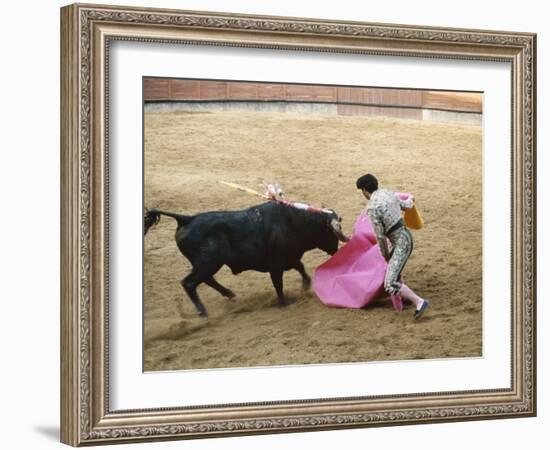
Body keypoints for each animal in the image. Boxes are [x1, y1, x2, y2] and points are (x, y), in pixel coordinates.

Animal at [143, 200, 350, 316]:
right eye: (332, 233)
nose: (338, 250)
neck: (295, 221)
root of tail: (188, 219)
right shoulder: (276, 265)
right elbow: (279, 284)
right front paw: (284, 303)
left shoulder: (289, 258)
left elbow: (300, 267)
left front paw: (305, 286)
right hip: (208, 262)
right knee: (189, 283)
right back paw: (202, 311)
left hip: (207, 264)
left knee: (205, 280)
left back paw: (229, 294)